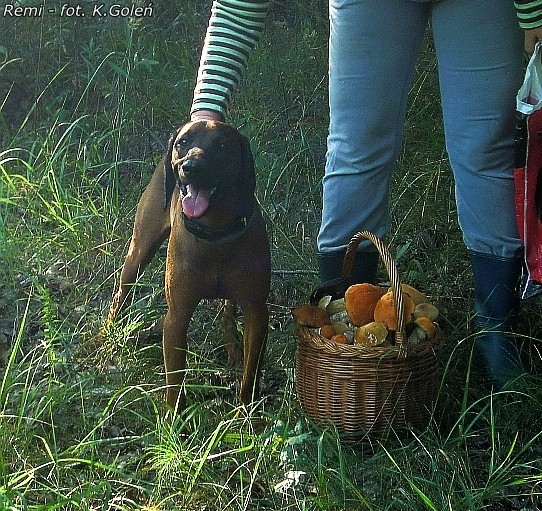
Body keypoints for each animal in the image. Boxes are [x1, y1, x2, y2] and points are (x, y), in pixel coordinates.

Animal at [107, 122, 272, 414]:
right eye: (182, 142)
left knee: (226, 317)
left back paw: (233, 352)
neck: (214, 233)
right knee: (120, 296)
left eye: (222, 145)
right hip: (139, 251)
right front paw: (174, 419)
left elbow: (250, 373)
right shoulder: (177, 316)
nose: (191, 166)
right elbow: (174, 380)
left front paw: (245, 413)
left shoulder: (256, 312)